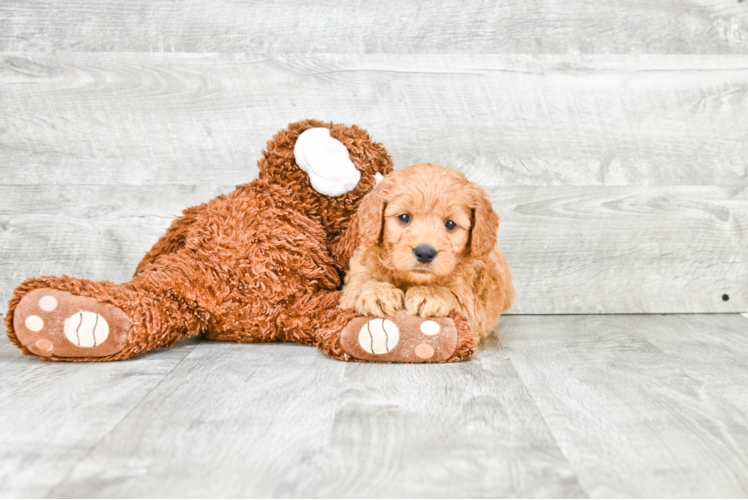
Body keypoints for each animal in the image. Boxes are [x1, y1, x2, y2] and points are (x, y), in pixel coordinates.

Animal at [340, 163, 512, 340]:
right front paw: (377, 292)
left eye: (450, 224)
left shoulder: (472, 310)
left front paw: (429, 294)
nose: (424, 253)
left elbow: (454, 297)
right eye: (404, 217)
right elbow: (360, 287)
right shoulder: (350, 290)